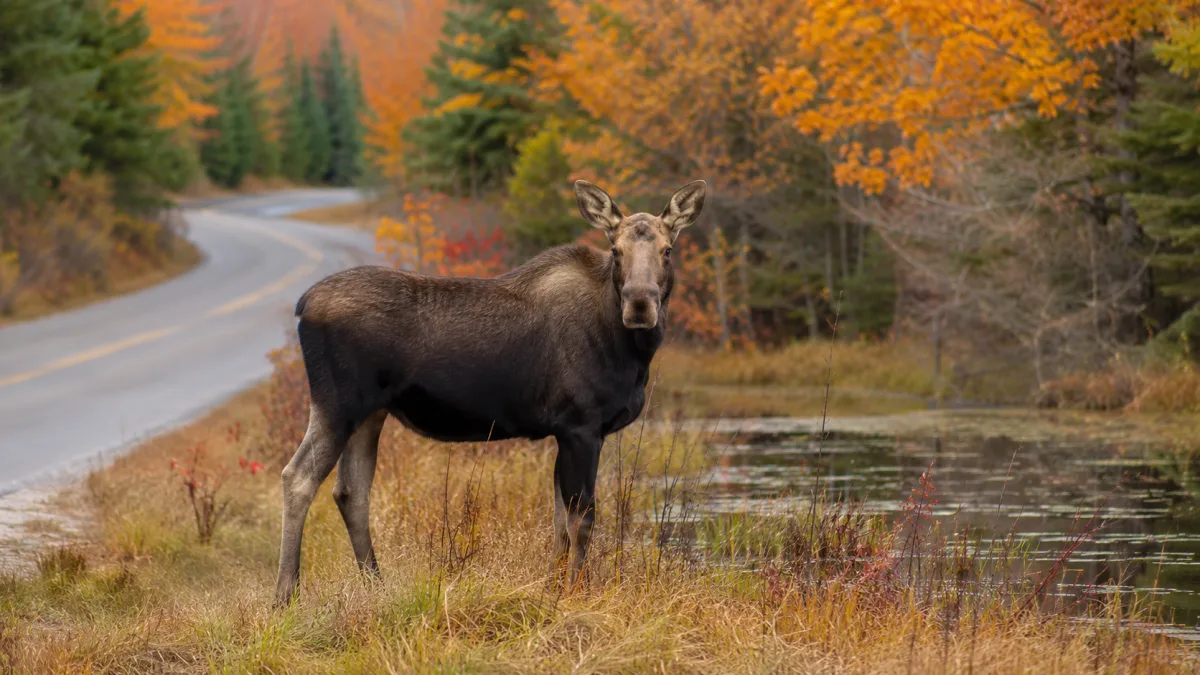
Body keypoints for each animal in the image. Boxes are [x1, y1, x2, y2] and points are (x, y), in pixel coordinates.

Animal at [274, 179, 707, 606]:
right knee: (298, 477)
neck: (630, 351)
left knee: (351, 492)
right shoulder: (581, 426)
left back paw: (376, 587)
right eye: (616, 250)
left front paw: (553, 590)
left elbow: (559, 522)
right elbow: (582, 518)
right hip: (338, 403)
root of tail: (302, 305)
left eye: (668, 249)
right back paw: (285, 596)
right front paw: (577, 593)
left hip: (369, 413)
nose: (640, 304)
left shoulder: (564, 432)